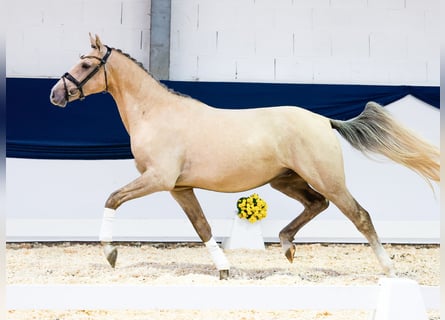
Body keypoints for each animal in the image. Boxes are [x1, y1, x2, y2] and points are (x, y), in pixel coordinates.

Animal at [50, 33, 438, 280]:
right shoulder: (179, 187)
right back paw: (286, 246)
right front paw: (223, 269)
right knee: (317, 204)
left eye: (85, 64)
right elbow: (202, 227)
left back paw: (388, 269)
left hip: (327, 179)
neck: (157, 114)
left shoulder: (158, 179)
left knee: (360, 215)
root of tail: (323, 120)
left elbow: (112, 199)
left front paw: (111, 255)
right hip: (286, 180)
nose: (55, 94)